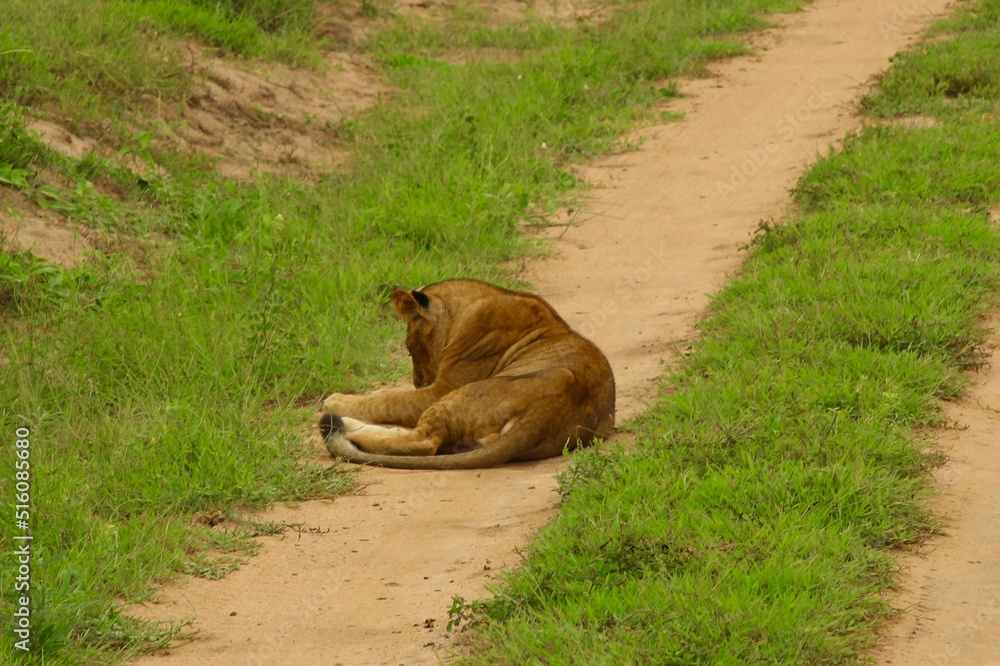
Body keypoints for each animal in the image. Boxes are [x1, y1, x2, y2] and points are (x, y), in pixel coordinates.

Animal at [319, 279, 615, 469]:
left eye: (410, 348)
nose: (418, 383)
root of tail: (544, 415)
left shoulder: (439, 390)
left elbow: (388, 400)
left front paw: (337, 400)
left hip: (458, 395)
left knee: (423, 443)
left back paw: (344, 428)